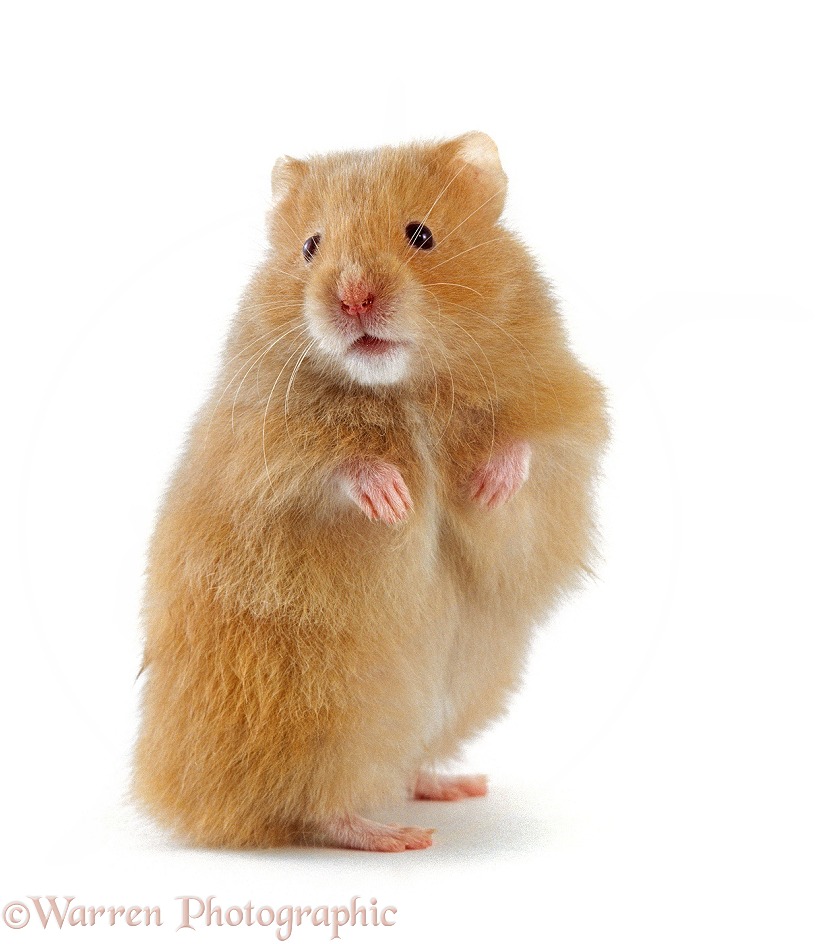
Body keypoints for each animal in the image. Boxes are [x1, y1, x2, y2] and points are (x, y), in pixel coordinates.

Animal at [133, 135, 608, 856]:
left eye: (421, 234)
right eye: (310, 246)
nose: (353, 298)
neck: (402, 386)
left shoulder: (564, 419)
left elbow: (528, 451)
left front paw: (485, 484)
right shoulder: (259, 453)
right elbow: (335, 469)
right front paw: (395, 500)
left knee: (400, 768)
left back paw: (451, 787)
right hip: (321, 713)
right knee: (315, 805)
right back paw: (395, 835)